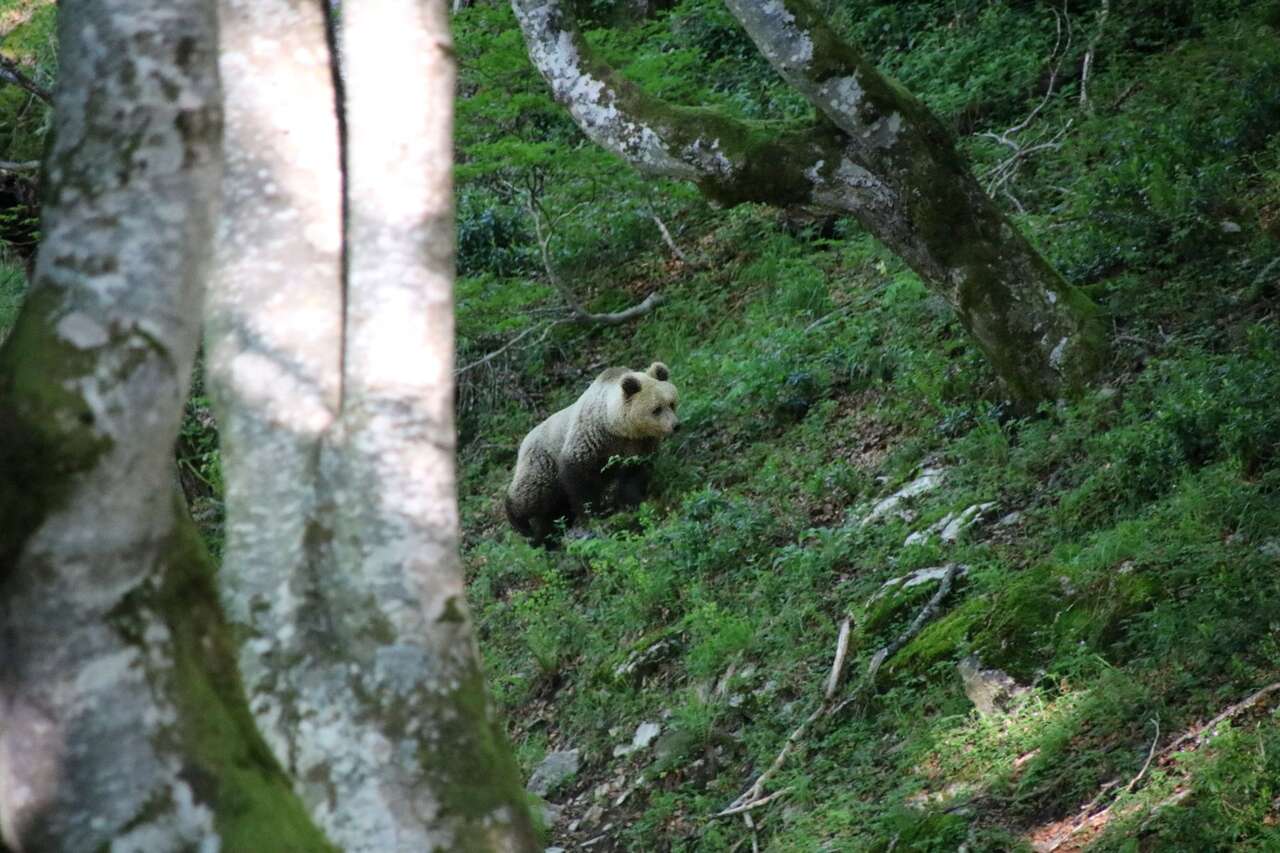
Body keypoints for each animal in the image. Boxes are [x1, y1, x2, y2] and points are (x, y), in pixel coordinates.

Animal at [504, 361, 680, 540]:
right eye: (656, 409)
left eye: (671, 403)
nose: (675, 426)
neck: (620, 428)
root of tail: (524, 441)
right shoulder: (593, 437)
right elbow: (580, 475)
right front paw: (594, 513)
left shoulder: (639, 444)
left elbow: (634, 474)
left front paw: (634, 501)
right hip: (543, 459)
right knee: (533, 492)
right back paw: (520, 523)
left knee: (552, 510)